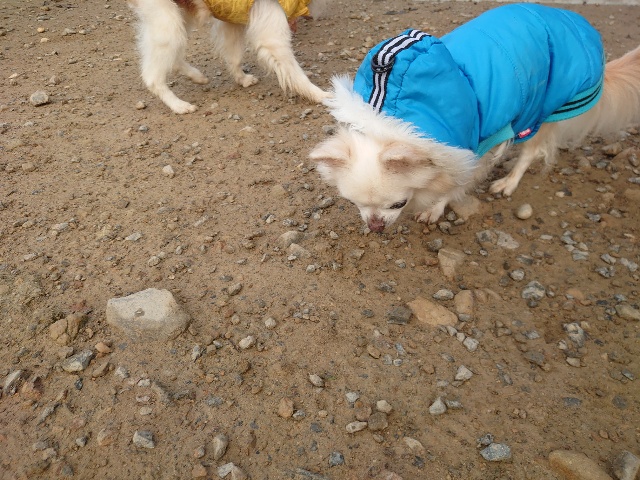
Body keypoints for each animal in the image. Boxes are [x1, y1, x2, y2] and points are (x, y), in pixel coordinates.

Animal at [129, 0, 329, 114]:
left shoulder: (231, 21)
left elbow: (234, 57)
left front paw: (242, 79)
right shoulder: (272, 36)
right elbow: (296, 73)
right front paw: (319, 95)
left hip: (182, 15)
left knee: (174, 58)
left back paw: (197, 76)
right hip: (168, 22)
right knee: (152, 76)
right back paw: (179, 106)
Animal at [309, 4, 640, 232]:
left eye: (398, 204)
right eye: (354, 204)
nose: (375, 226)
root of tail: (574, 21)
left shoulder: (469, 150)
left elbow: (455, 185)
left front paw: (435, 207)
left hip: (545, 109)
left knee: (531, 151)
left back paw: (508, 181)